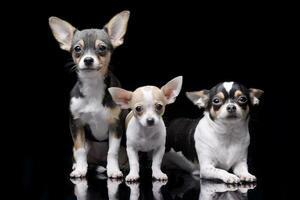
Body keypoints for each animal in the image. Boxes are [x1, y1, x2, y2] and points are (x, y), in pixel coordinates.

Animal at [48, 10, 129, 177]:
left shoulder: (115, 125)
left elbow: (112, 152)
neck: (93, 87)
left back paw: (120, 167)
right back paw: (78, 166)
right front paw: (80, 169)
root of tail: (98, 161)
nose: (88, 60)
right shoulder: (76, 124)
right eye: (77, 49)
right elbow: (80, 150)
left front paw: (114, 170)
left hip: (123, 147)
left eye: (102, 48)